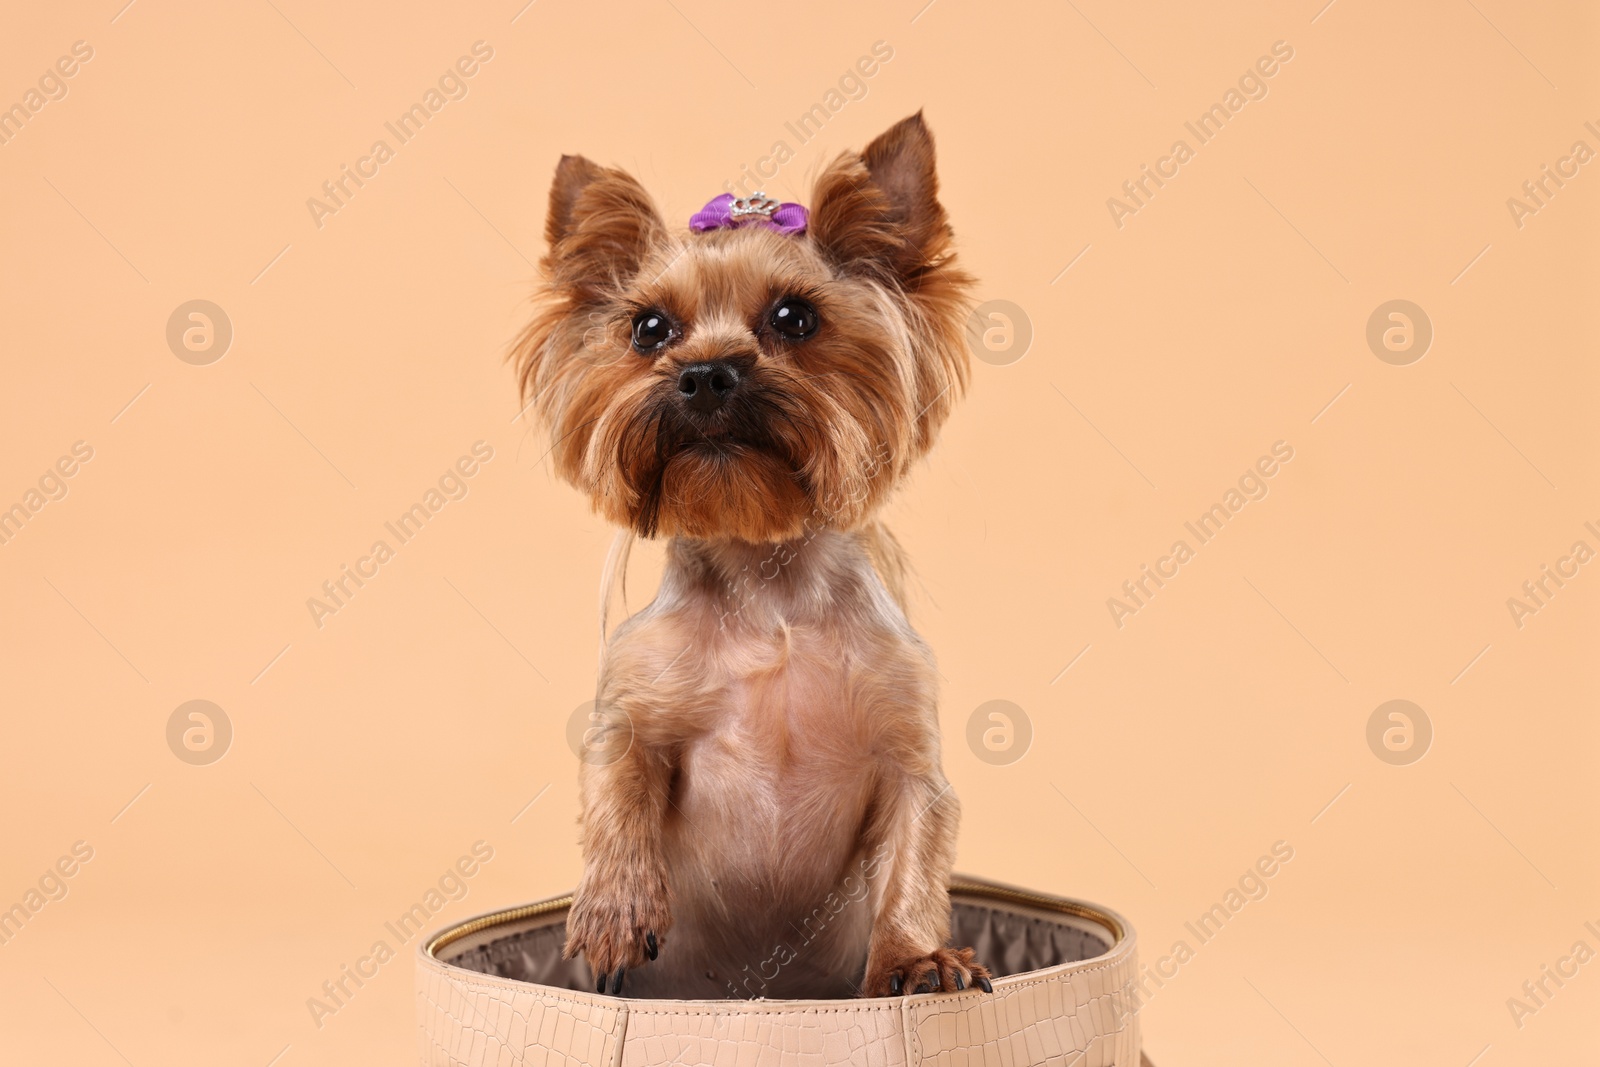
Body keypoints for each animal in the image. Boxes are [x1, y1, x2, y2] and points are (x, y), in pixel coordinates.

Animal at [515, 112, 985, 998]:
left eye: (796, 317)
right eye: (649, 328)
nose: (705, 374)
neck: (766, 580)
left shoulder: (908, 753)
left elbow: (914, 855)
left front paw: (915, 959)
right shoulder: (632, 707)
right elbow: (617, 779)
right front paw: (615, 907)